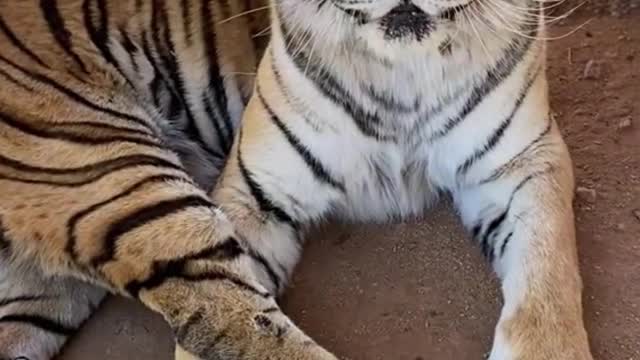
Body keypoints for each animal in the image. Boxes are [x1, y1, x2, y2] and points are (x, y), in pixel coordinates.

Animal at [0, 0, 596, 360]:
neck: (400, 67)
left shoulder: (524, 160)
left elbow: (548, 277)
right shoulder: (252, 192)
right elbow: (237, 324)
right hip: (112, 175)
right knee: (223, 314)